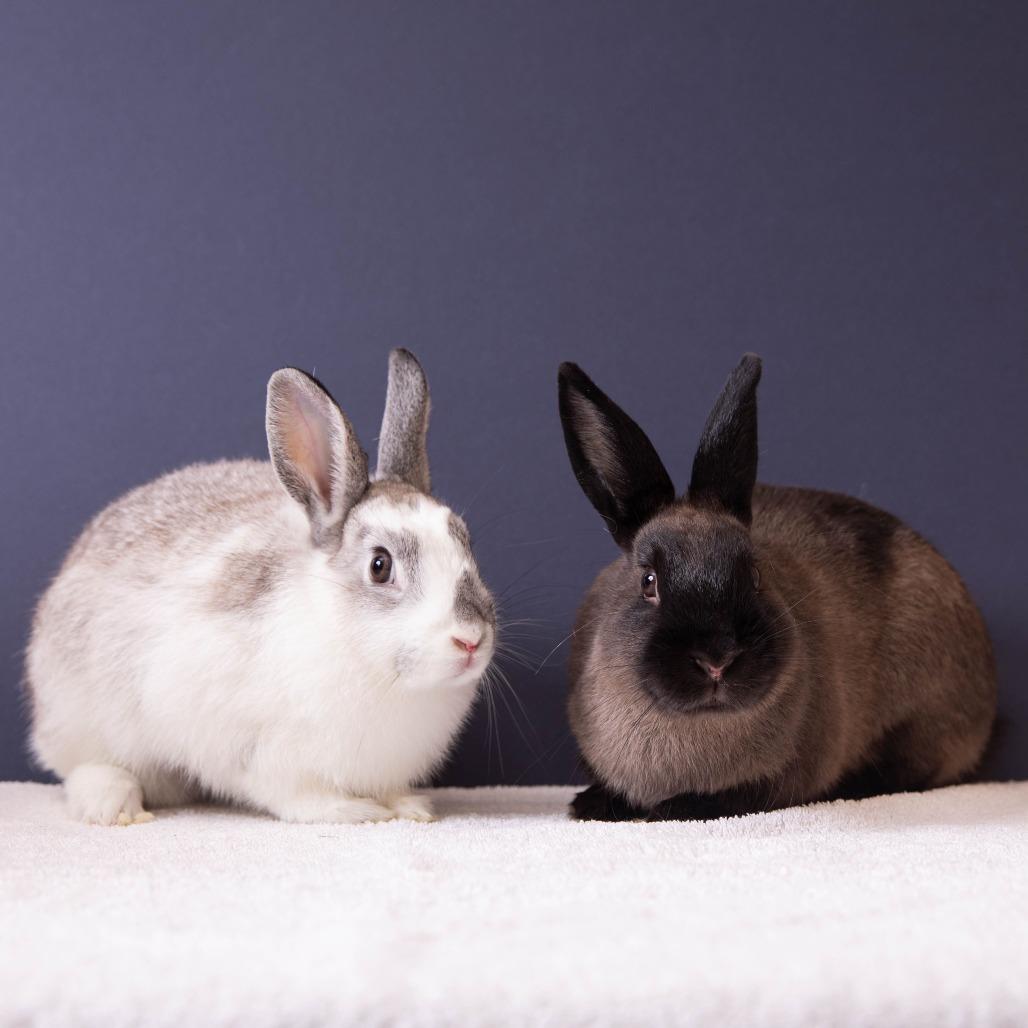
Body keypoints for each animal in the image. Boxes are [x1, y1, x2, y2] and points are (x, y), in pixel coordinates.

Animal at [26, 349, 496, 825]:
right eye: (380, 566)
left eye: (466, 542)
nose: (470, 640)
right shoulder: (255, 750)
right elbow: (293, 793)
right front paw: (353, 810)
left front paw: (410, 807)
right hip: (82, 716)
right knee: (83, 767)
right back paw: (115, 805)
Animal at [557, 354, 996, 821]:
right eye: (648, 582)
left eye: (755, 575)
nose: (717, 660)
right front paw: (590, 804)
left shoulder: (777, 782)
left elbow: (731, 796)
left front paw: (671, 806)